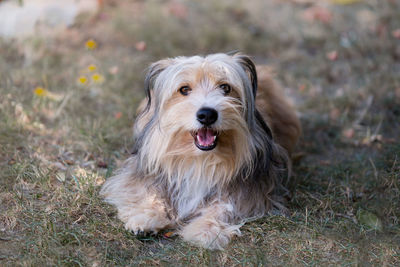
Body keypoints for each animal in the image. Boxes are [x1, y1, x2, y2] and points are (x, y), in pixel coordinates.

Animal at [100, 53, 300, 250]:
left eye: (225, 87)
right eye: (184, 89)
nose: (207, 115)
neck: (200, 159)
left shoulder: (252, 190)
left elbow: (226, 206)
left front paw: (206, 229)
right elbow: (148, 192)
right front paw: (146, 217)